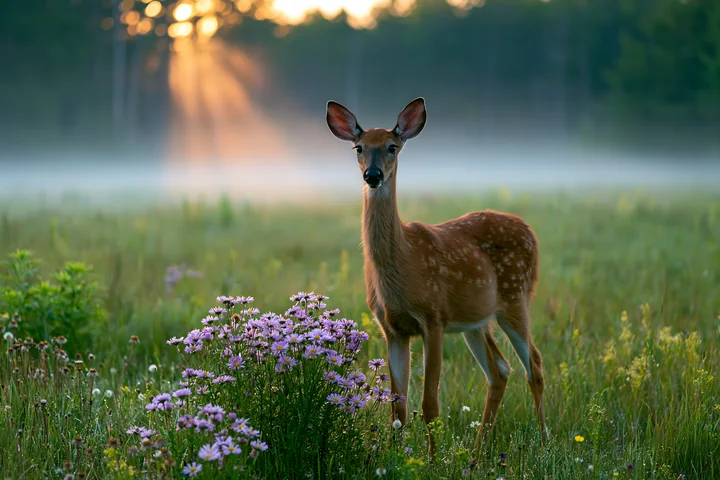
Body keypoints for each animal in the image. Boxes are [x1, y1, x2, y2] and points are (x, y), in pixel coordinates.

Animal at [325, 97, 548, 455]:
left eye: (392, 147)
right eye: (359, 147)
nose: (372, 175)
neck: (402, 265)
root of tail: (530, 230)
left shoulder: (434, 317)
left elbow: (430, 405)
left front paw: (431, 459)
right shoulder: (392, 329)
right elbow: (397, 407)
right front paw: (396, 456)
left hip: (516, 297)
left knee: (535, 365)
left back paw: (543, 440)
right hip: (477, 321)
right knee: (500, 370)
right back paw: (477, 451)